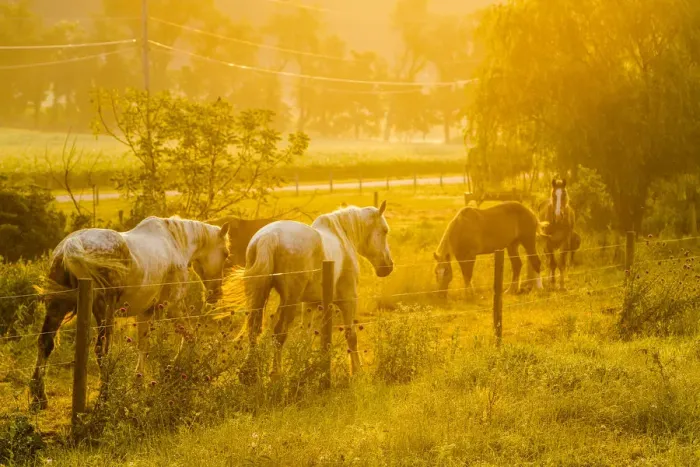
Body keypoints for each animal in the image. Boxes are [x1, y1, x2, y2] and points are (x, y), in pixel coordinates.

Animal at [29, 216, 230, 410]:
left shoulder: (145, 313)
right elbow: (189, 337)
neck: (174, 242)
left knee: (45, 343)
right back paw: (105, 397)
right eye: (226, 254)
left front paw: (139, 382)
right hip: (104, 312)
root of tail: (71, 244)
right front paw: (178, 369)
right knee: (101, 350)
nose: (216, 294)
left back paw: (39, 398)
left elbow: (144, 347)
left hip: (57, 307)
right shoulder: (173, 306)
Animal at [224, 201, 394, 379]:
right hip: (289, 301)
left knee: (254, 330)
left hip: (259, 296)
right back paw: (275, 373)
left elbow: (305, 336)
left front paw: (302, 367)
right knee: (279, 332)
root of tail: (270, 237)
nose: (387, 267)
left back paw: (248, 373)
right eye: (384, 230)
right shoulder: (348, 300)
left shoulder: (309, 304)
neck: (342, 238)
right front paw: (357, 371)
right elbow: (351, 335)